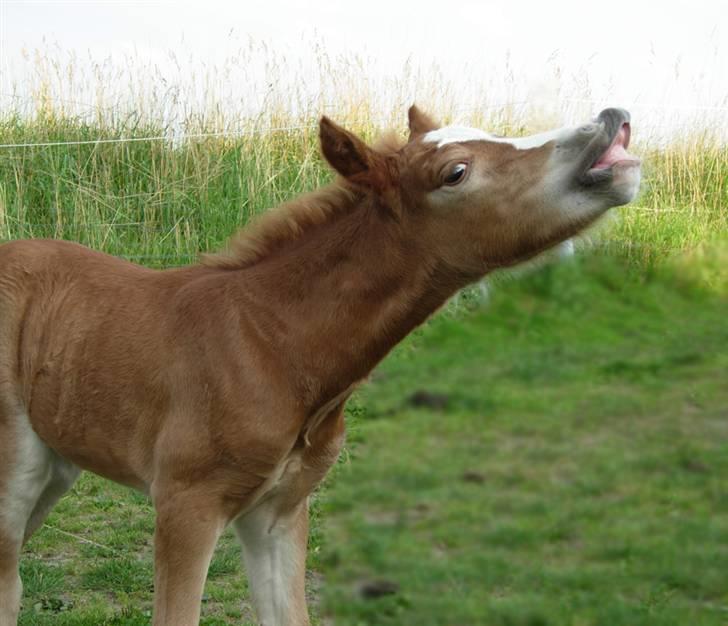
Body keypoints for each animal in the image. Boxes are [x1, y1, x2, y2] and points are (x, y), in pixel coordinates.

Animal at [0, 105, 636, 620]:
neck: (276, 346)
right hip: (16, 468)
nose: (611, 121)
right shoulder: (186, 503)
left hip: (58, 463)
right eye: (455, 172)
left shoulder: (280, 510)